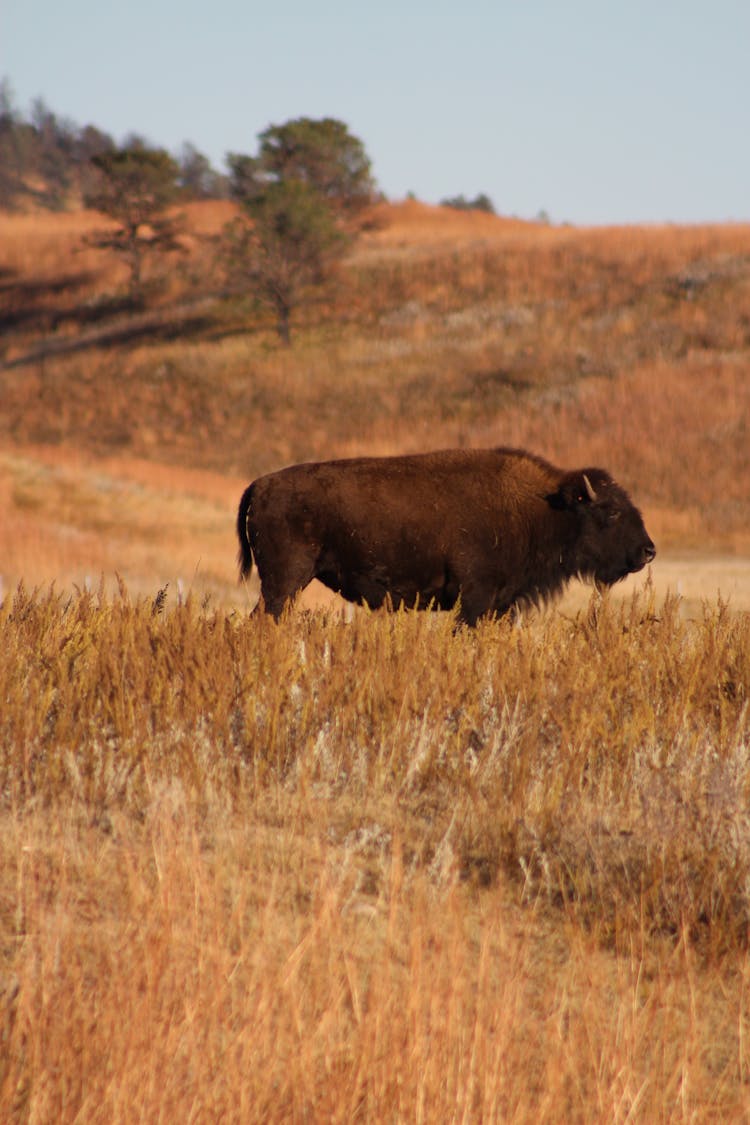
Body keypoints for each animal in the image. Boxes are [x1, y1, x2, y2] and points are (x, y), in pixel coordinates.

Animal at [236, 445, 656, 625]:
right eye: (611, 511)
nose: (648, 551)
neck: (544, 508)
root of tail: (260, 484)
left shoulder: (499, 604)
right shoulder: (474, 598)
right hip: (285, 582)